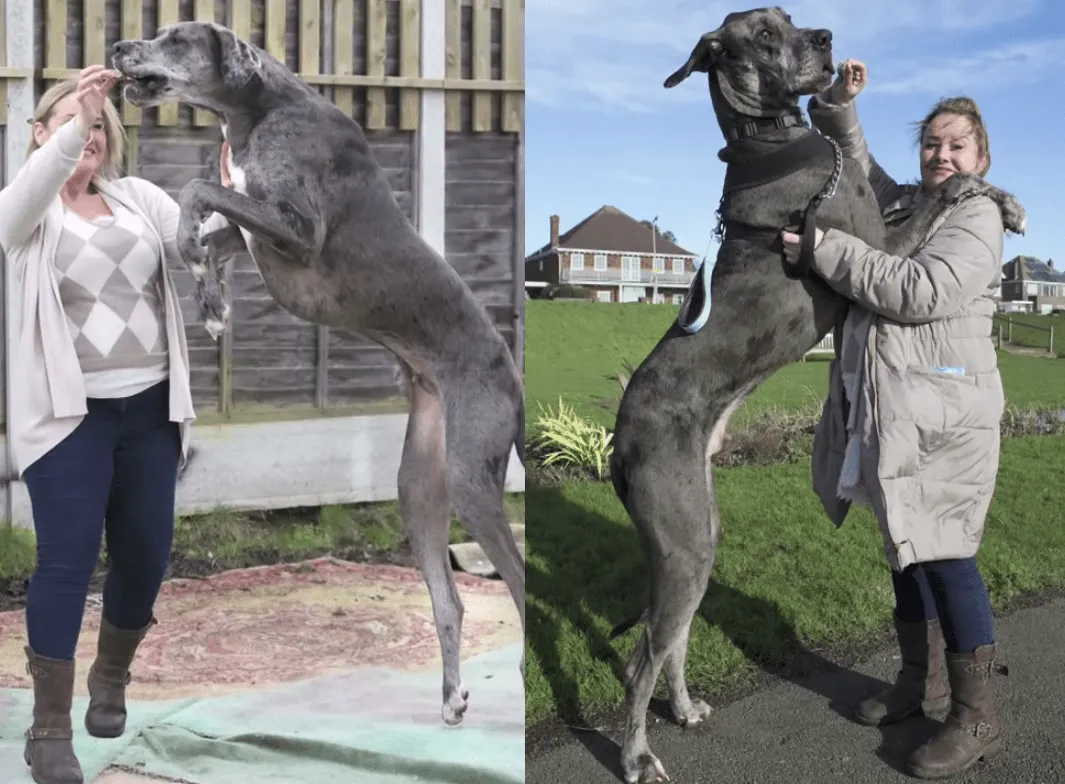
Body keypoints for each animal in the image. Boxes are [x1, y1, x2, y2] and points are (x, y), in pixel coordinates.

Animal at [110, 19, 526, 728]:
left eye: (175, 37)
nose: (115, 49)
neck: (258, 110)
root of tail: (510, 372)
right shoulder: (256, 230)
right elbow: (212, 228)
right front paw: (211, 300)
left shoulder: (299, 230)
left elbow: (200, 191)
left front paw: (198, 264)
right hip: (421, 484)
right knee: (449, 599)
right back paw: (451, 696)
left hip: (474, 477)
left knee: (521, 581)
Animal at [604, 7, 1026, 784]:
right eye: (764, 33)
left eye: (790, 17)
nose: (826, 38)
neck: (769, 135)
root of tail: (618, 438)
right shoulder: (877, 244)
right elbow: (939, 191)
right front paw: (988, 196)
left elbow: (934, 184)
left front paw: (1006, 199)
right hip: (682, 541)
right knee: (641, 656)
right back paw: (639, 755)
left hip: (697, 537)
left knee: (670, 637)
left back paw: (683, 709)